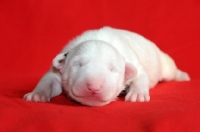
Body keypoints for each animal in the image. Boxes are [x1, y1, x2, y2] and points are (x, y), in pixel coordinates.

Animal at [22, 26, 190, 106]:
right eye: (78, 64)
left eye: (113, 69)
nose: (93, 87)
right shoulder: (57, 71)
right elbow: (49, 80)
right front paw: (38, 94)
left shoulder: (134, 62)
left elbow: (141, 77)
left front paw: (137, 94)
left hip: (165, 65)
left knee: (171, 70)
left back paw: (183, 76)